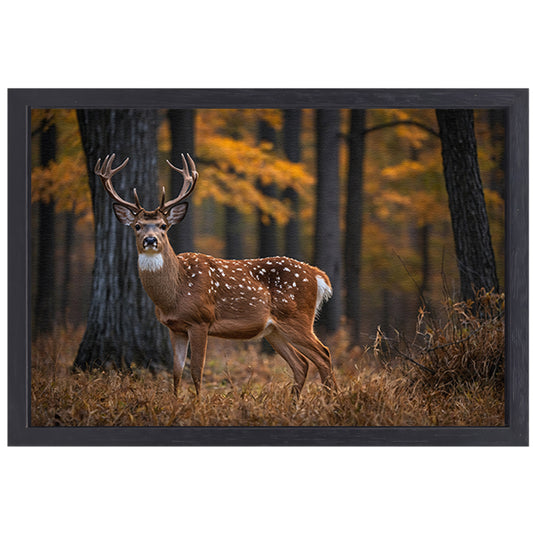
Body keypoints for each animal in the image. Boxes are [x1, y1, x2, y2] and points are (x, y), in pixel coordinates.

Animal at [95, 152, 334, 396]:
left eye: (163, 226)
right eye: (137, 226)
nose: (150, 240)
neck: (174, 293)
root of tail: (318, 276)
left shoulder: (200, 320)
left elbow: (196, 371)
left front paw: (197, 403)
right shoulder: (175, 327)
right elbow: (176, 372)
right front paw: (175, 402)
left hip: (297, 317)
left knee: (323, 354)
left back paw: (331, 399)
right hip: (273, 330)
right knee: (301, 363)